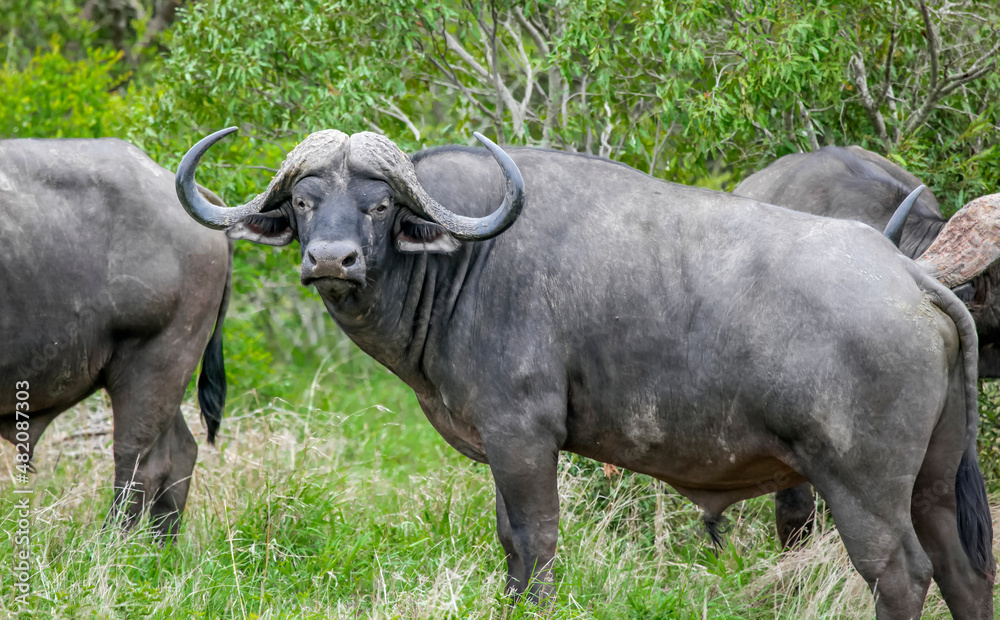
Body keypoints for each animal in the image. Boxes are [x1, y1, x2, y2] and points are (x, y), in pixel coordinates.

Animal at [0, 138, 230, 536]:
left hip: (157, 359)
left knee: (138, 457)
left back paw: (111, 541)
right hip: (164, 372)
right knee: (180, 451)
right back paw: (159, 543)